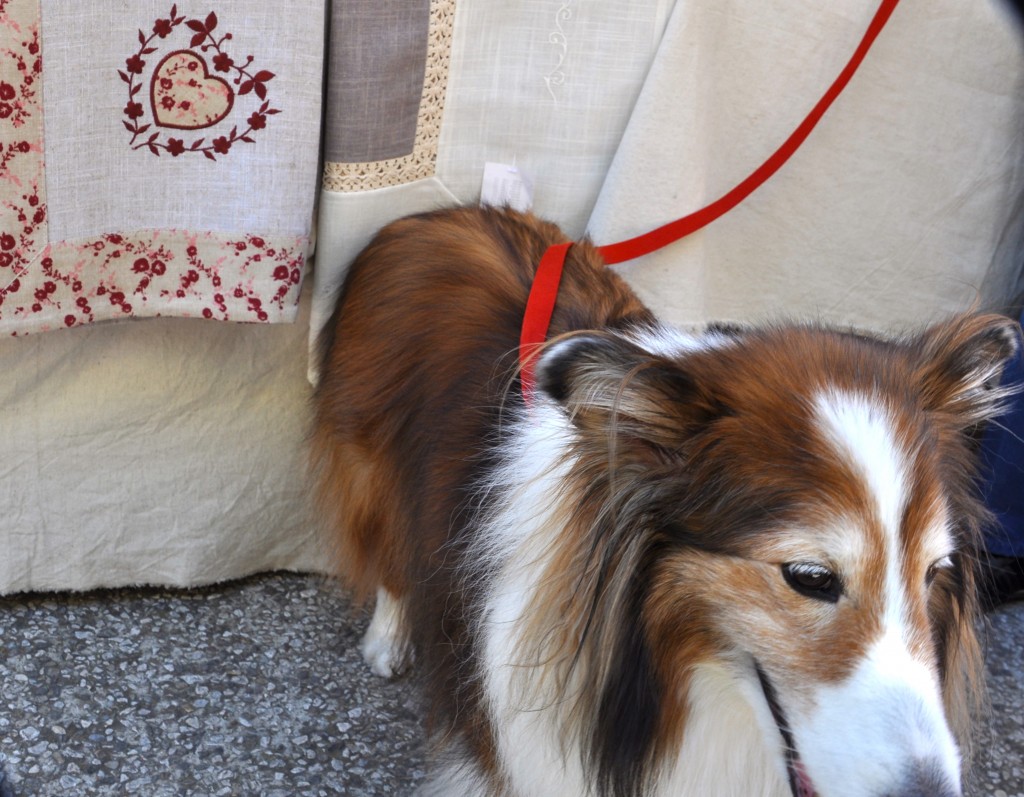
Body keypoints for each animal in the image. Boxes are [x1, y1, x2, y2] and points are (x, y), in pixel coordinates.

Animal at [309, 206, 1015, 794]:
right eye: (810, 577)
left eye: (935, 572)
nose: (929, 793)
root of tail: (434, 214)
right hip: (372, 464)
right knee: (390, 554)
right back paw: (389, 638)